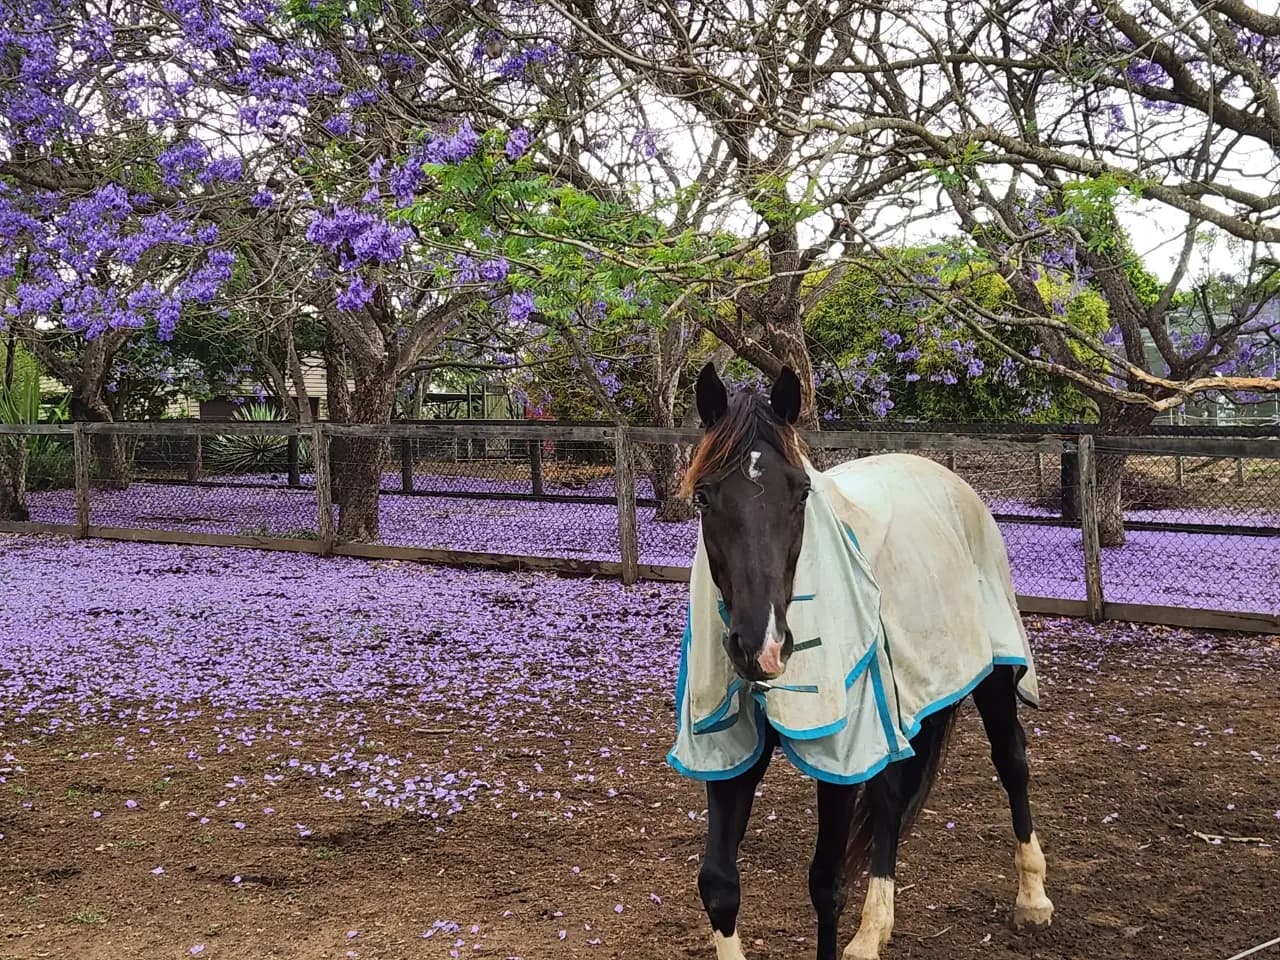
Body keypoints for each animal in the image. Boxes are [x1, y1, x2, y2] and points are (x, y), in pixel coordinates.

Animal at [669, 363, 1054, 960]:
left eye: (801, 493)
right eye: (705, 497)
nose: (763, 646)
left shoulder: (842, 752)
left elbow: (826, 885)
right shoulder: (730, 747)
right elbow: (719, 884)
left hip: (992, 672)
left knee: (1012, 761)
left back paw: (1033, 897)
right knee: (892, 797)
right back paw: (873, 933)